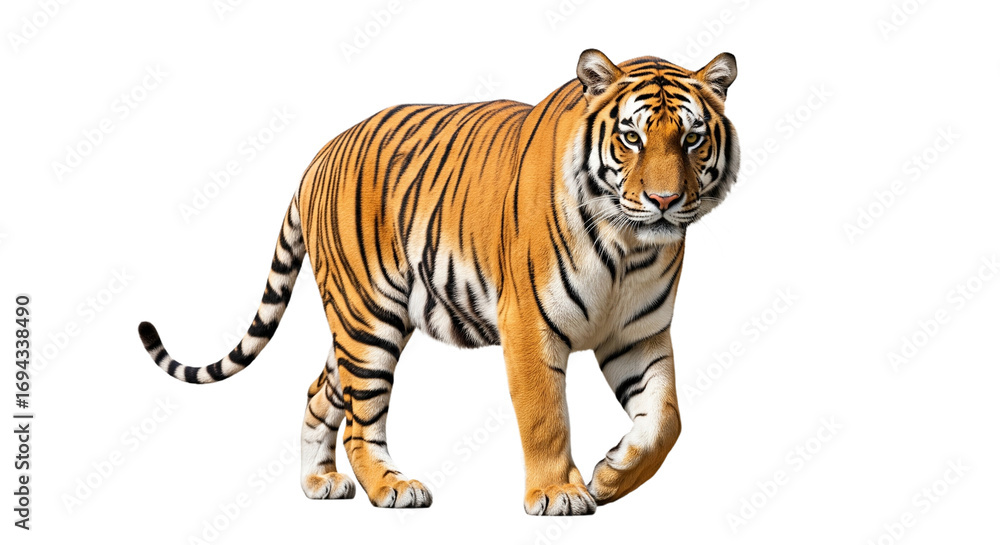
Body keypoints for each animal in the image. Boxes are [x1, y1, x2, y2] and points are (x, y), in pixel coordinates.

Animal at [138, 48, 740, 515]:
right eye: (631, 137)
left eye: (692, 139)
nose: (664, 200)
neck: (630, 248)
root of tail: (319, 157)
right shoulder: (530, 326)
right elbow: (546, 415)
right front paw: (556, 494)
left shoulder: (639, 335)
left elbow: (665, 420)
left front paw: (612, 475)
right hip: (368, 319)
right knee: (360, 421)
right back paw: (393, 487)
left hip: (357, 326)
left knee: (319, 392)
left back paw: (318, 483)